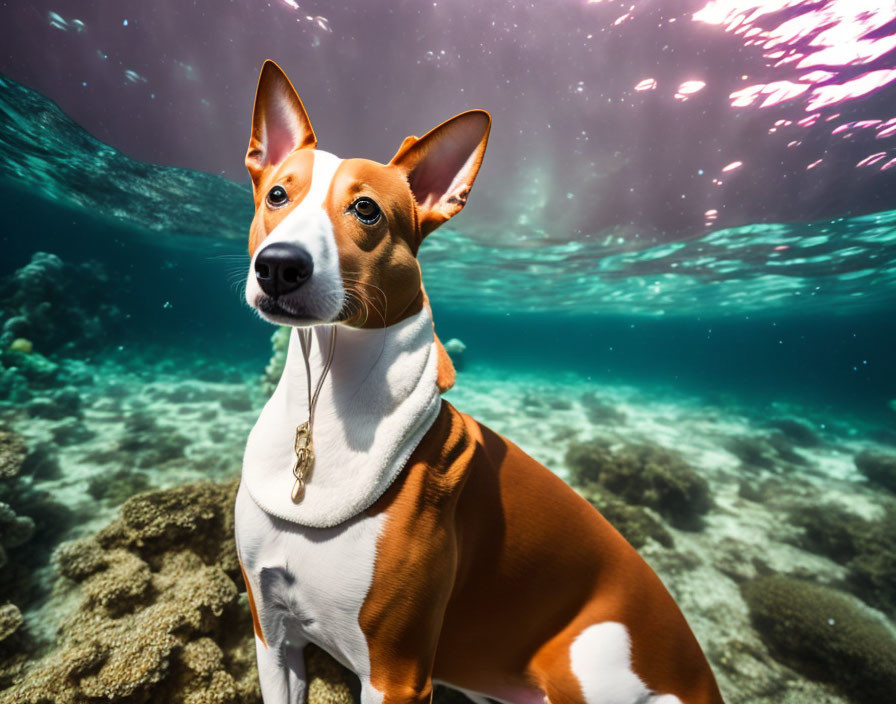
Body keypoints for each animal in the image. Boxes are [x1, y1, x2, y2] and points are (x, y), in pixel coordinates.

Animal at [234, 60, 724, 704]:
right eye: (277, 195)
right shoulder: (274, 637)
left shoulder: (396, 674)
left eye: (366, 210)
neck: (328, 398)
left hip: (591, 658)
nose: (279, 265)